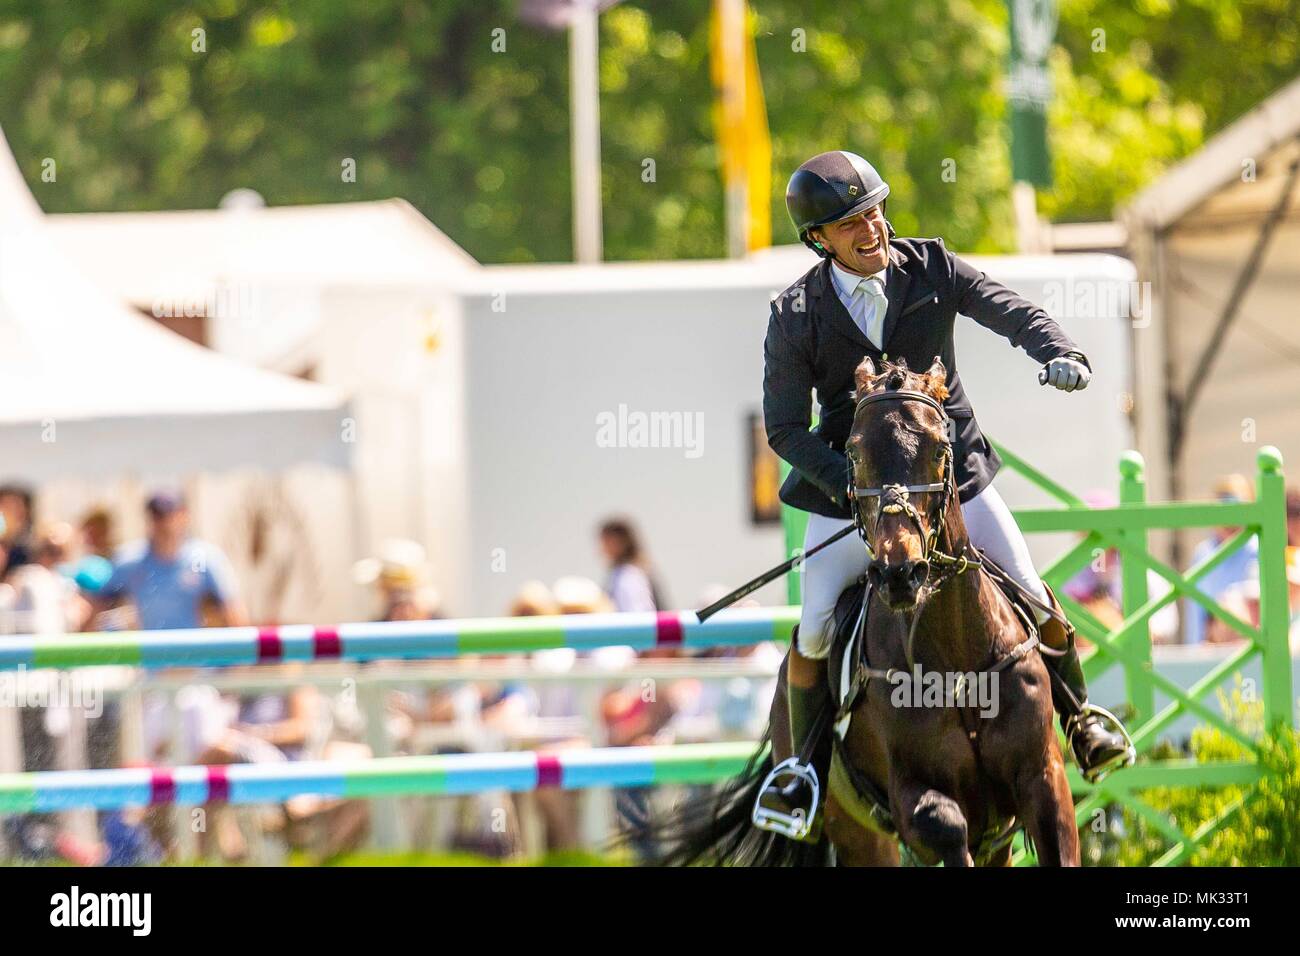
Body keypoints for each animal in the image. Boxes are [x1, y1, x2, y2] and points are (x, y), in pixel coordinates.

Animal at [655, 358, 1081, 868]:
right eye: (854, 455)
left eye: (940, 450)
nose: (900, 574)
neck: (955, 657)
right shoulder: (912, 798)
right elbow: (944, 823)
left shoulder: (1042, 780)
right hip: (855, 830)